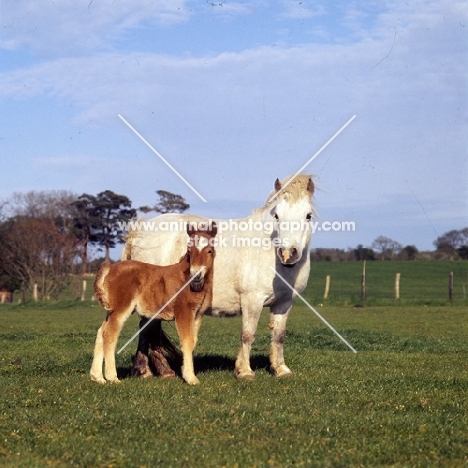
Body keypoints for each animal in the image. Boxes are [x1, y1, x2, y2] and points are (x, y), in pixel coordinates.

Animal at [90, 225, 217, 386]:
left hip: (111, 310)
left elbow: (193, 342)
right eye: (189, 251)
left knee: (101, 332)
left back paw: (97, 377)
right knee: (109, 334)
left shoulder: (198, 315)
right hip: (121, 309)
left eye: (209, 250)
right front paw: (191, 378)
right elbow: (187, 342)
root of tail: (110, 268)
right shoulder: (183, 312)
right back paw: (112, 377)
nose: (196, 275)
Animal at [122, 174, 316, 378]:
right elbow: (248, 334)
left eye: (308, 215)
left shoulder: (284, 302)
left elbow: (278, 335)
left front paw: (280, 369)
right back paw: (157, 371)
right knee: (149, 328)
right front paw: (244, 371)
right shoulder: (252, 299)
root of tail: (139, 232)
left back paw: (147, 370)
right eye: (277, 215)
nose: (288, 254)